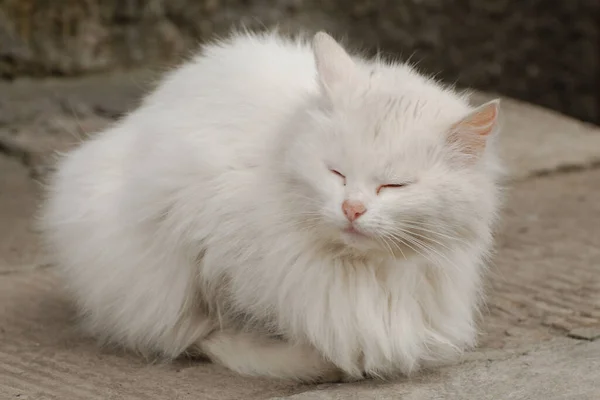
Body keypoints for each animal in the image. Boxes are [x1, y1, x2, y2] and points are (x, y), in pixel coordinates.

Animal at [39, 30, 504, 382]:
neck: (359, 274)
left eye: (394, 185)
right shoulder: (197, 239)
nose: (352, 209)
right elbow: (224, 325)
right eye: (336, 172)